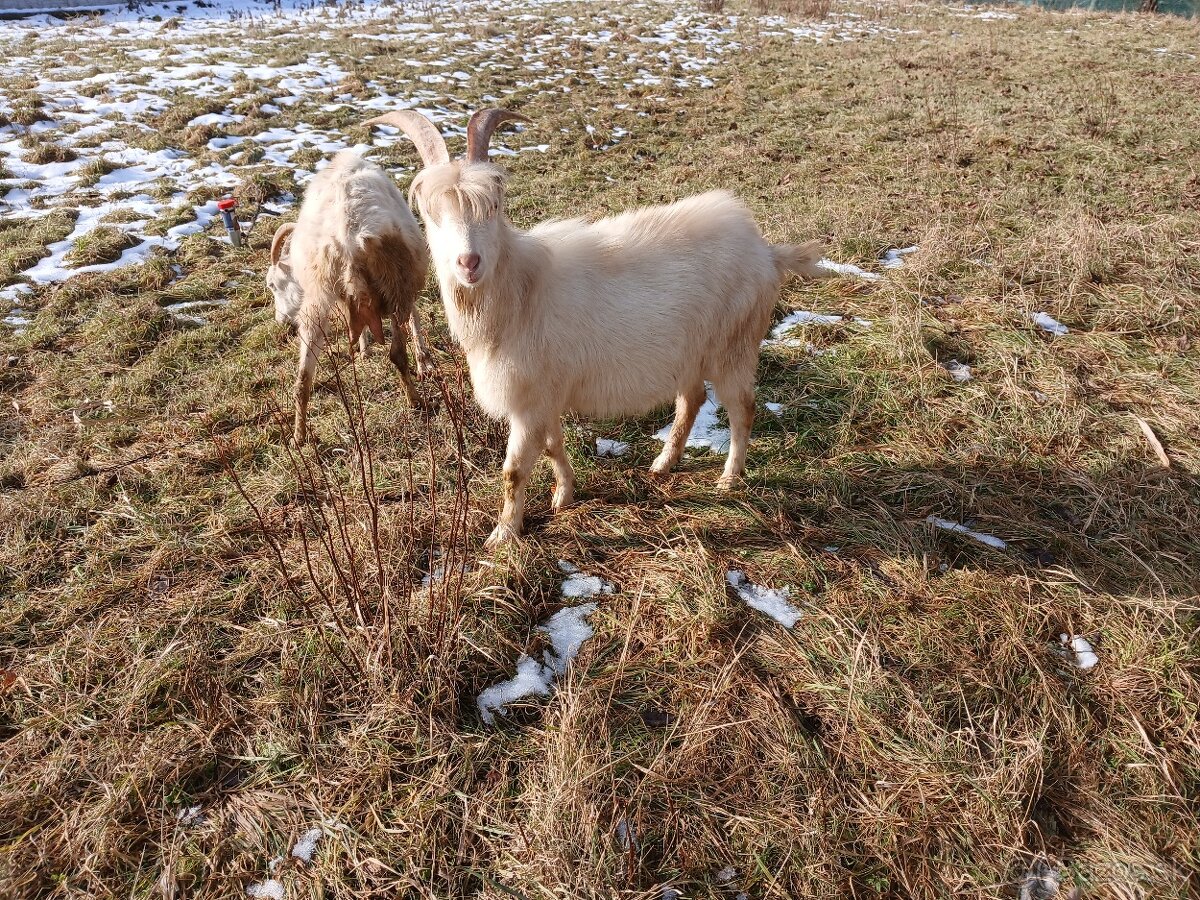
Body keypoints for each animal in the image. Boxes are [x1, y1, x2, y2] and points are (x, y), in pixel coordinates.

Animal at [267, 152, 432, 448]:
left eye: (273, 284)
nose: (280, 320)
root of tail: (348, 237)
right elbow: (411, 317)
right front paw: (419, 360)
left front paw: (365, 349)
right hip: (395, 284)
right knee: (397, 353)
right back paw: (415, 402)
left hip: (317, 299)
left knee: (303, 377)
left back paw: (299, 437)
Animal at [367, 112, 825, 549]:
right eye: (430, 214)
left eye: (494, 205)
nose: (468, 263)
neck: (519, 290)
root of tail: (767, 252)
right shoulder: (545, 394)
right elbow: (553, 445)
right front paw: (564, 495)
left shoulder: (528, 399)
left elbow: (513, 471)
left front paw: (503, 535)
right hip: (690, 353)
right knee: (691, 400)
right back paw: (664, 463)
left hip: (734, 345)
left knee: (742, 408)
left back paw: (729, 478)